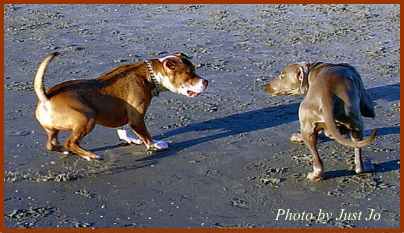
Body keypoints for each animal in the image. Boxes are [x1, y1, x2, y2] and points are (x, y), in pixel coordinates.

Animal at [34, 52, 208, 160]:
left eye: (194, 70)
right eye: (190, 74)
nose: (206, 81)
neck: (150, 75)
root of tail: (46, 97)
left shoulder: (123, 115)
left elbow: (122, 130)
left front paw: (131, 139)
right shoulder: (137, 118)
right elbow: (147, 136)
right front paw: (156, 145)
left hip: (54, 129)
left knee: (51, 144)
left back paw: (64, 150)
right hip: (87, 118)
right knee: (71, 142)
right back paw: (90, 155)